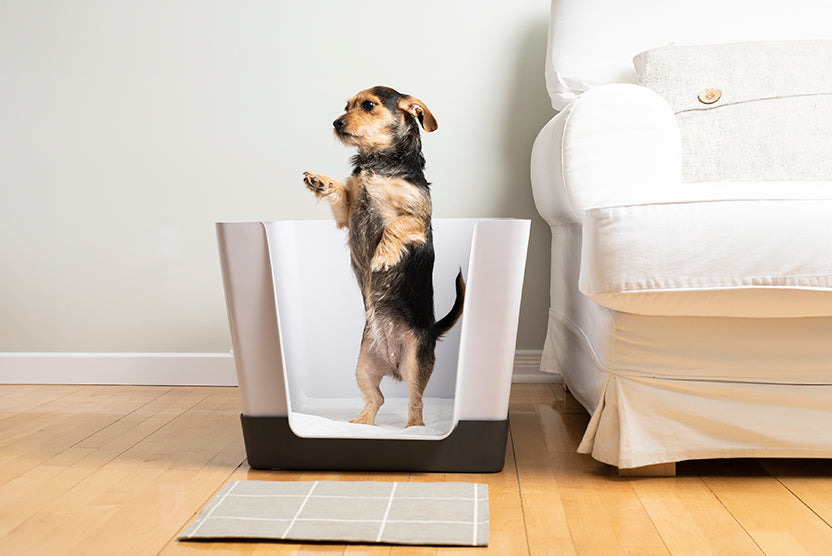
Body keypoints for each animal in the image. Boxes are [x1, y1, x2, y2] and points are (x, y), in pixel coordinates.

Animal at [302, 86, 464, 426]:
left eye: (368, 105)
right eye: (346, 106)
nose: (336, 123)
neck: (379, 162)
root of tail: (393, 366)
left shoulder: (419, 219)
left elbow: (395, 226)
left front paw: (382, 257)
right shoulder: (347, 213)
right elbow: (342, 191)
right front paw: (321, 181)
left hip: (416, 363)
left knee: (416, 404)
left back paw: (413, 429)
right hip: (363, 366)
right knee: (377, 398)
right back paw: (360, 423)